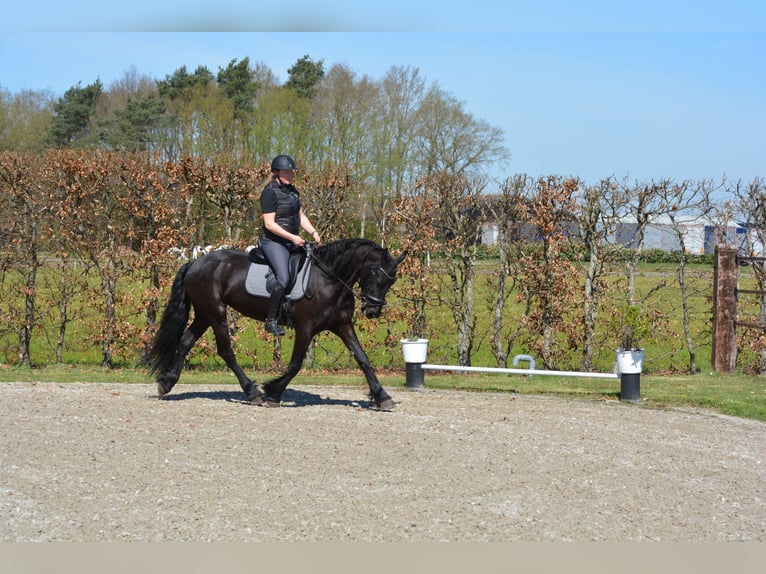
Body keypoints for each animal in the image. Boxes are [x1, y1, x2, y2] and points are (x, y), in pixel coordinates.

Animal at [146, 241, 404, 412]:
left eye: (391, 282)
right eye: (376, 274)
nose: (373, 311)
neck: (328, 280)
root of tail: (195, 263)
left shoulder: (342, 326)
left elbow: (363, 359)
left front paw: (382, 396)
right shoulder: (305, 329)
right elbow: (295, 365)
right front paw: (273, 392)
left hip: (204, 314)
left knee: (185, 342)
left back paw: (166, 383)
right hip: (216, 313)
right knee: (225, 351)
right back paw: (252, 393)